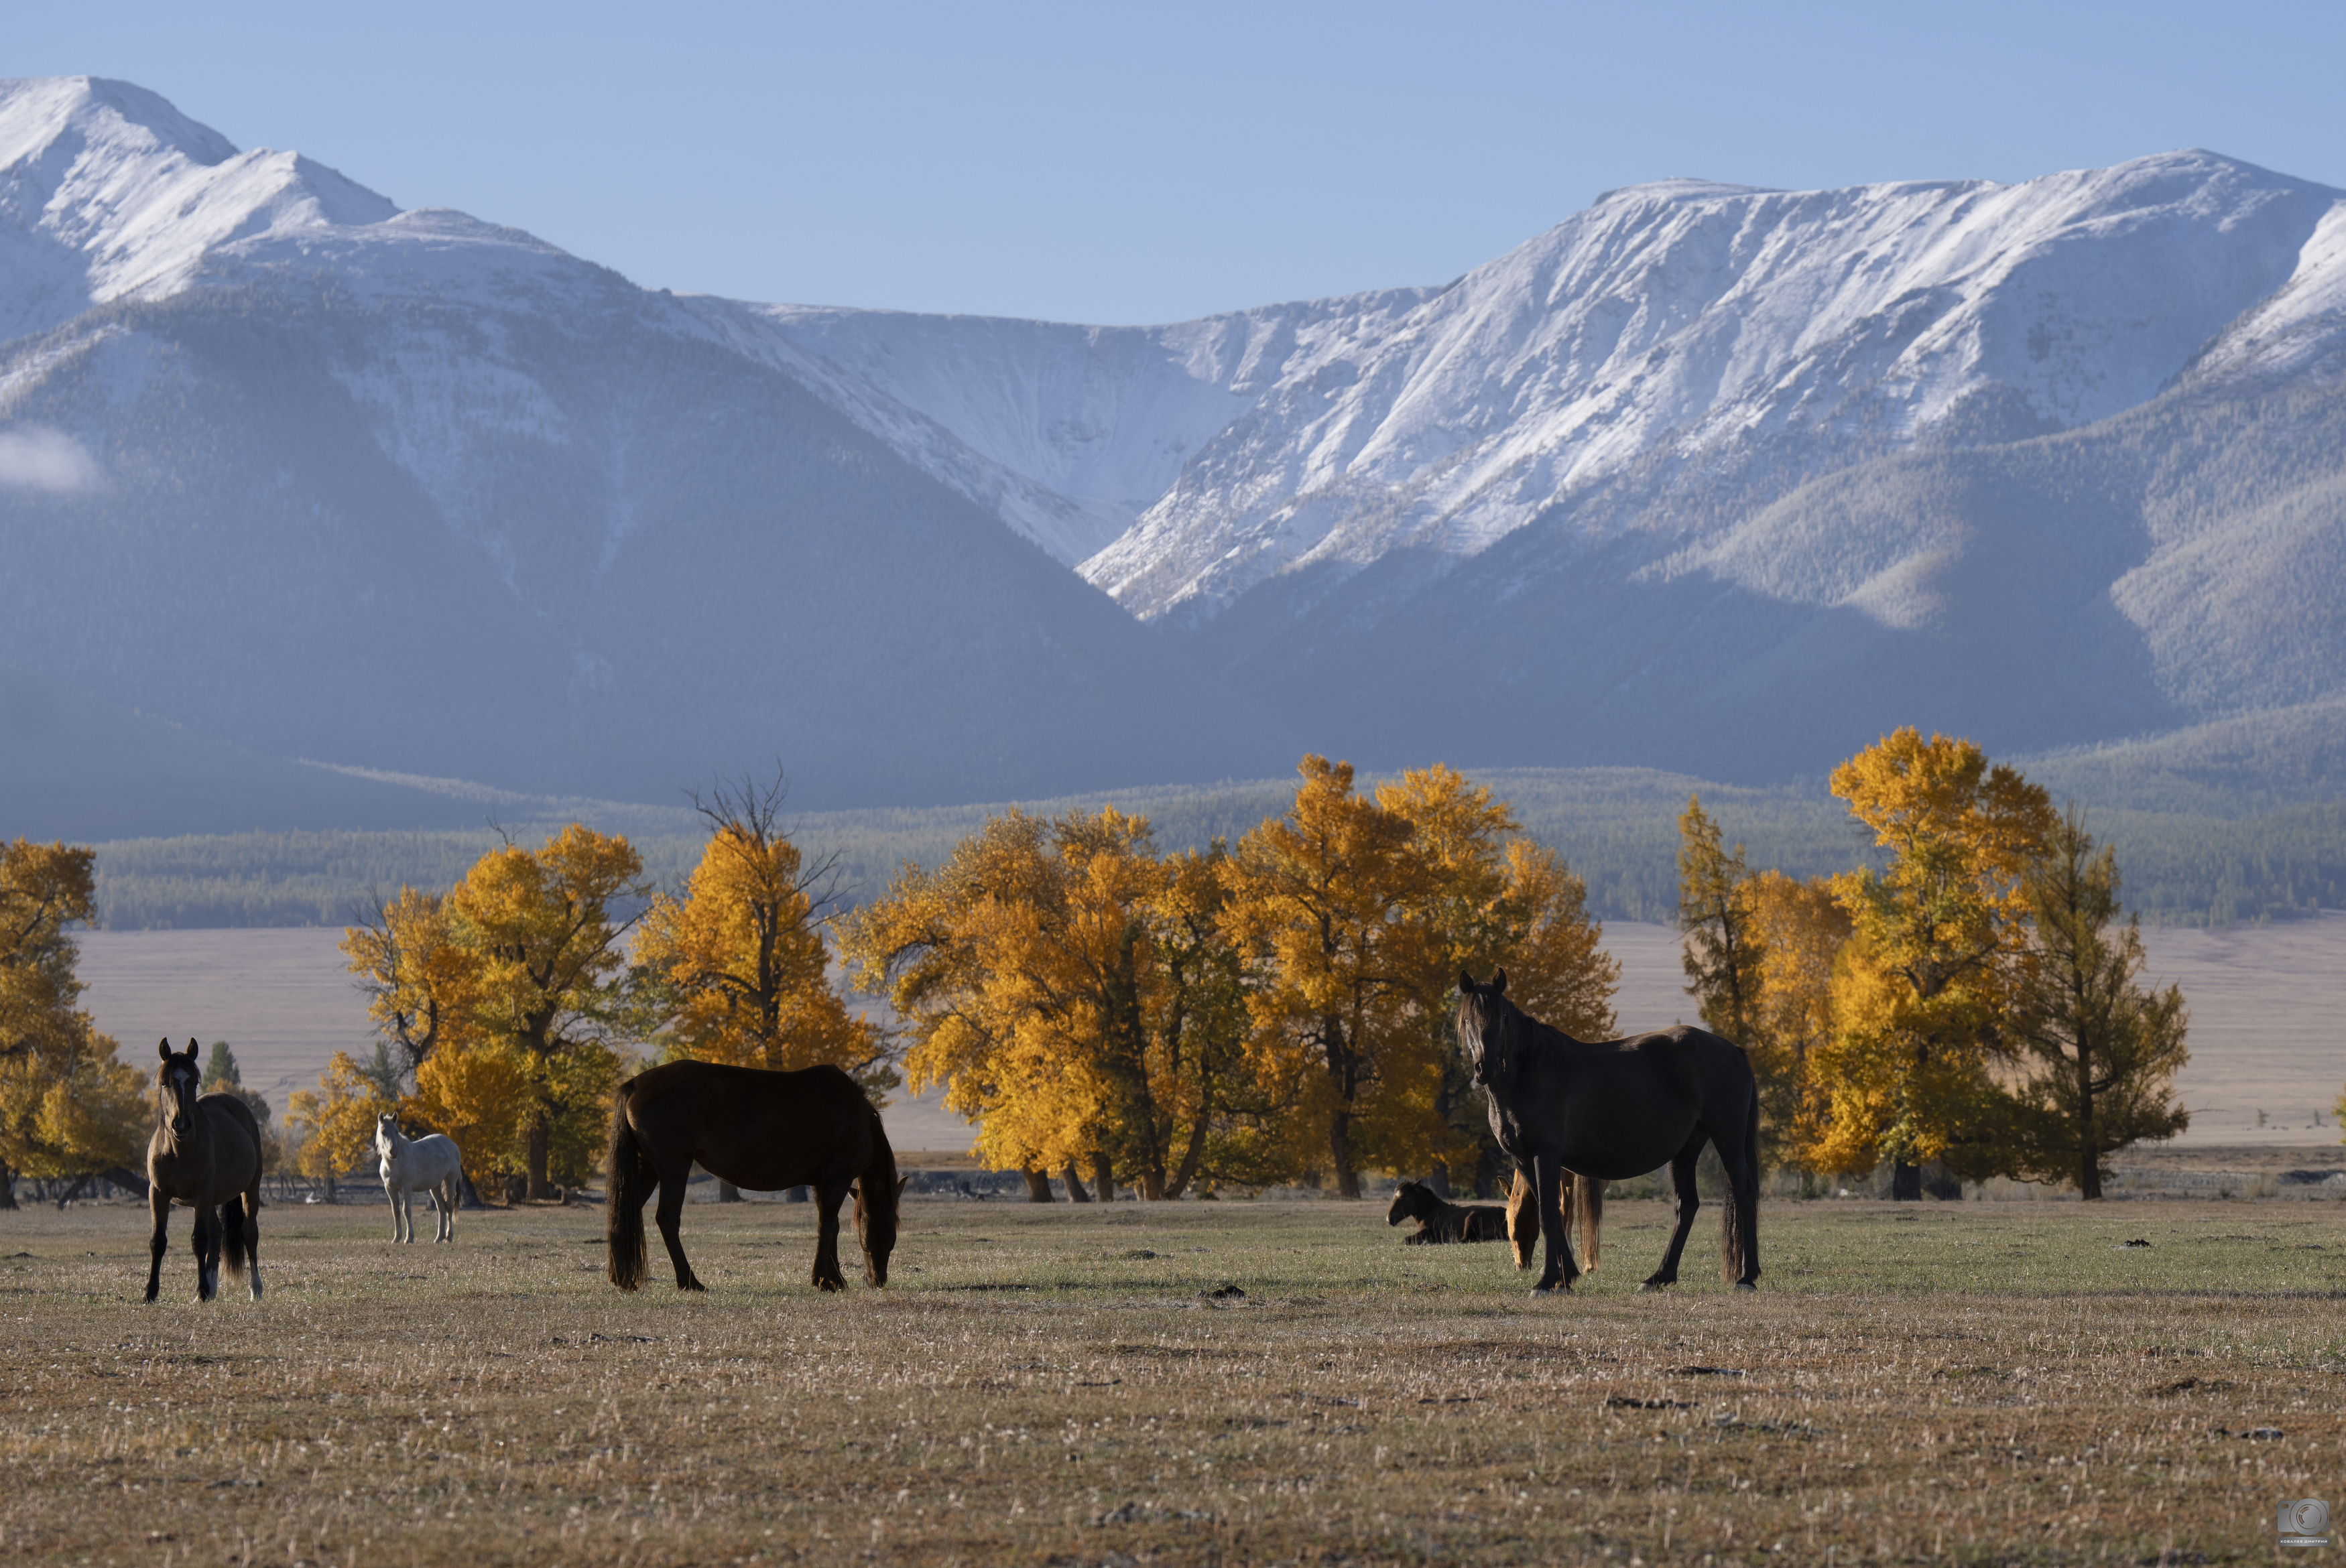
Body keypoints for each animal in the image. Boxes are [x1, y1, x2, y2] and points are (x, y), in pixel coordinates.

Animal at [141, 1031, 263, 1303]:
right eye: (165, 1083)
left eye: (194, 1082)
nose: (181, 1125)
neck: (178, 1152)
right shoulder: (158, 1193)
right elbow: (158, 1241)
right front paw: (150, 1293)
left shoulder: (203, 1192)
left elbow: (199, 1240)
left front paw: (201, 1289)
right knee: (217, 1233)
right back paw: (211, 1289)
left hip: (250, 1188)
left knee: (249, 1232)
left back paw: (255, 1289)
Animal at [371, 1110, 462, 1246]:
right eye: (383, 1132)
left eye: (396, 1131)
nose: (394, 1152)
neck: (394, 1164)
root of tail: (454, 1145)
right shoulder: (390, 1188)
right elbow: (396, 1212)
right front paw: (396, 1238)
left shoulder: (407, 1187)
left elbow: (406, 1211)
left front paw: (409, 1238)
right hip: (435, 1186)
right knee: (441, 1208)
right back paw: (439, 1238)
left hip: (450, 1180)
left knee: (449, 1207)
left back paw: (449, 1236)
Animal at [1445, 966, 1764, 1293]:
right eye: (1467, 1020)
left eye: (1503, 1018)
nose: (1486, 1068)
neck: (1528, 1073)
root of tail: (1733, 1050)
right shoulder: (1523, 1159)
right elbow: (1553, 1214)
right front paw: (1566, 1276)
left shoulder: (1546, 1156)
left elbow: (1549, 1215)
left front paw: (1547, 1281)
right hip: (1686, 1150)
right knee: (1687, 1205)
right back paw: (1659, 1277)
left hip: (1728, 1140)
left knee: (1745, 1195)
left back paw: (1747, 1277)